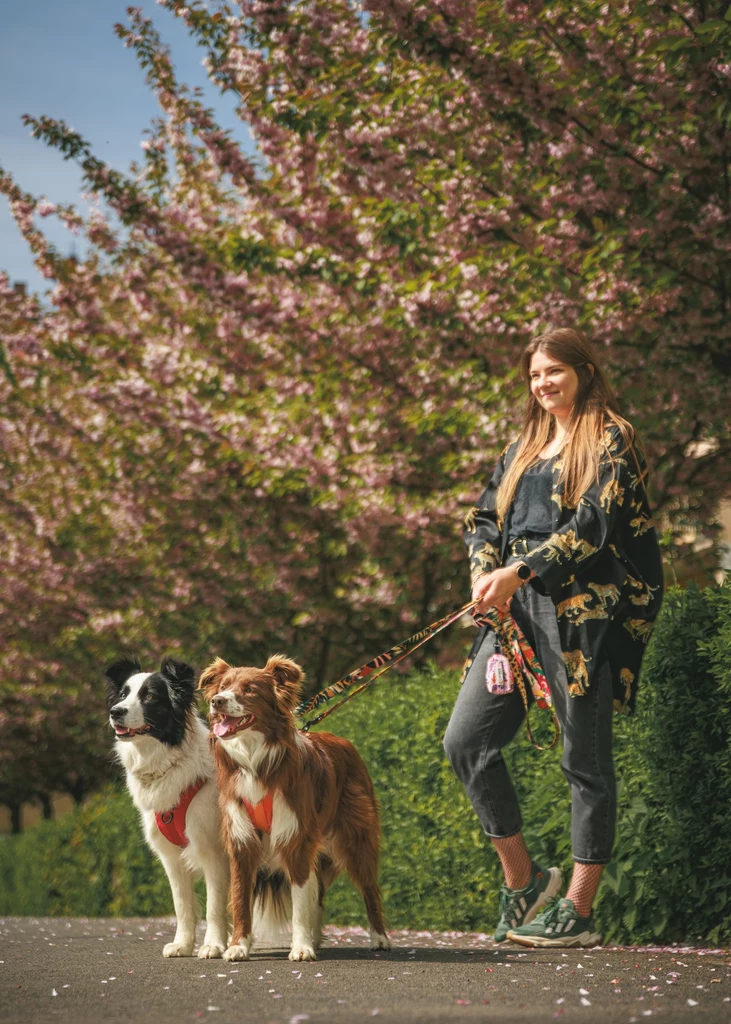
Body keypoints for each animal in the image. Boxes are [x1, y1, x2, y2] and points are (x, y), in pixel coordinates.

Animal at [196, 655, 391, 958]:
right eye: (223, 686)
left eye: (250, 689)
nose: (217, 701)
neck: (255, 761)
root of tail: (344, 741)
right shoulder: (241, 840)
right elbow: (240, 898)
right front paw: (239, 946)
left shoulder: (295, 836)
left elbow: (300, 900)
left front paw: (300, 948)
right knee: (318, 893)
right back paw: (315, 937)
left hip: (357, 836)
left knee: (369, 887)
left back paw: (379, 938)